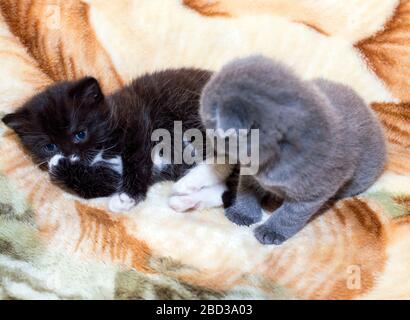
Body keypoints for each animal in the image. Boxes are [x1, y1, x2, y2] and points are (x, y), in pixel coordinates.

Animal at [4, 69, 211, 211]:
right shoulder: (109, 173)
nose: (70, 154)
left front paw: (128, 195)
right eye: (49, 146)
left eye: (80, 134)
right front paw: (59, 165)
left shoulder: (136, 116)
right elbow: (98, 186)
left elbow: (137, 157)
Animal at [200, 55, 386, 245]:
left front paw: (272, 230)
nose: (207, 134)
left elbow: (289, 215)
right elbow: (246, 191)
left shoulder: (311, 194)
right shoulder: (249, 173)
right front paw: (242, 212)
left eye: (209, 120)